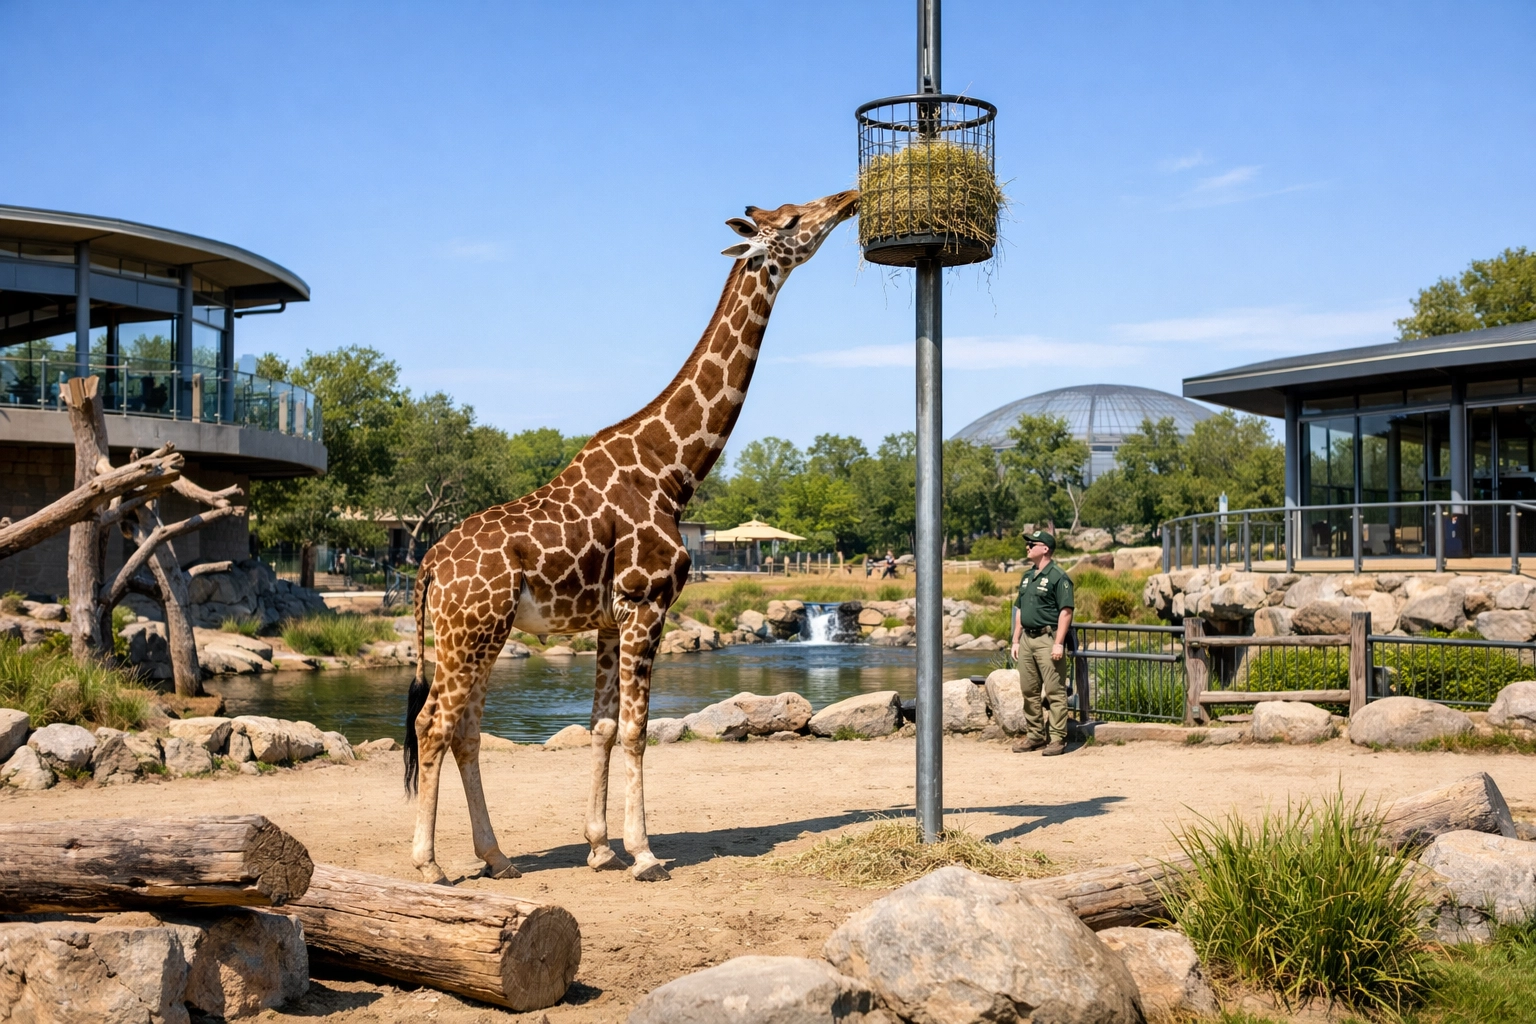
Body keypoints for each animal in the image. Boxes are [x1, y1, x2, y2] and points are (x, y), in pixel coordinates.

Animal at [403, 189, 859, 884]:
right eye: (790, 220)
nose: (848, 199)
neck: (671, 469)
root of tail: (429, 561)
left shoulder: (608, 619)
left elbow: (601, 726)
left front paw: (598, 847)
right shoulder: (646, 605)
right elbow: (637, 730)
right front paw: (644, 853)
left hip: (483, 634)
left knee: (465, 729)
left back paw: (497, 858)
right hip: (470, 631)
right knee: (434, 723)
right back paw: (430, 865)